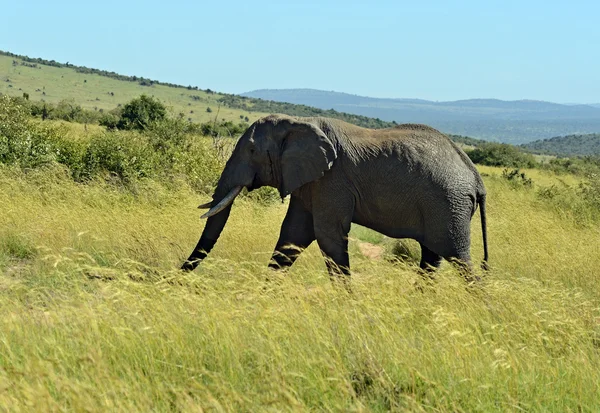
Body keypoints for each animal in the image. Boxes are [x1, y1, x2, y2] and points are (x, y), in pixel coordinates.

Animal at [182, 114, 488, 278]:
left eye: (252, 151)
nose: (176, 278)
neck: (298, 123)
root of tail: (476, 177)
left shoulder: (332, 180)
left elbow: (327, 235)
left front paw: (349, 306)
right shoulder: (309, 181)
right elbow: (293, 235)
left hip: (449, 204)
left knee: (458, 259)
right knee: (432, 257)